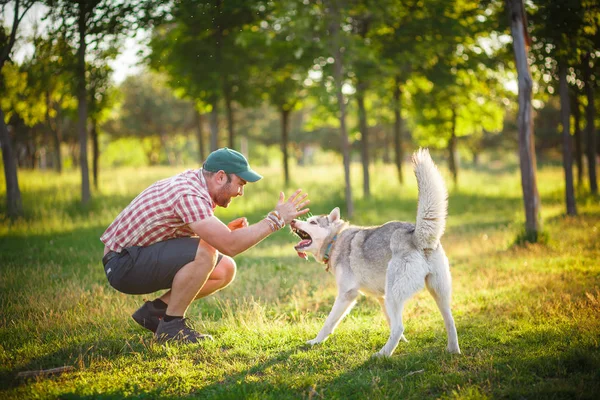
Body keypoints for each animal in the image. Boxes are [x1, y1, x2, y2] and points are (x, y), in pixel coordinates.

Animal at [290, 148, 460, 356]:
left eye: (313, 222)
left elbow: (328, 323)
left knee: (399, 327)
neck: (336, 240)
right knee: (449, 321)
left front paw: (315, 341)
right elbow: (389, 321)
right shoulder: (382, 297)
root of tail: (415, 235)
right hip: (437, 292)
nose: (292, 220)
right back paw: (453, 351)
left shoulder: (347, 295)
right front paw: (403, 343)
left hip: (396, 294)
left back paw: (382, 355)